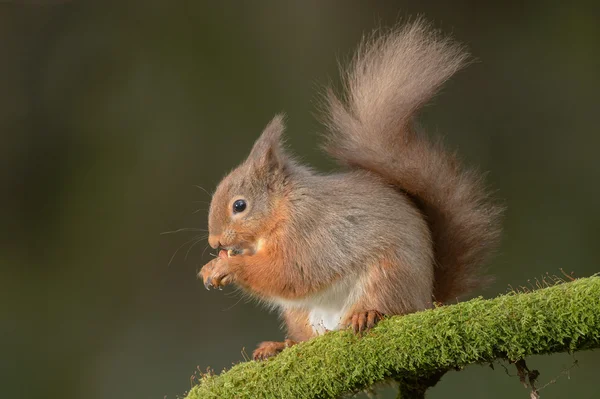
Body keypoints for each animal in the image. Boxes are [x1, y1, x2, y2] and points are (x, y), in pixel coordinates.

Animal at [198, 19, 502, 362]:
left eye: (239, 206)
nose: (214, 242)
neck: (284, 206)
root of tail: (426, 299)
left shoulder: (309, 232)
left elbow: (289, 272)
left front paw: (227, 265)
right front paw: (210, 266)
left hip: (387, 276)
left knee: (390, 307)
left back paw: (366, 315)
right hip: (300, 314)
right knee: (305, 338)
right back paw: (281, 345)